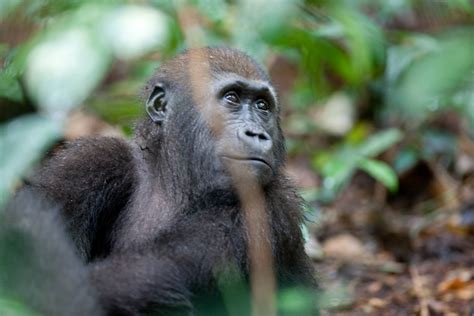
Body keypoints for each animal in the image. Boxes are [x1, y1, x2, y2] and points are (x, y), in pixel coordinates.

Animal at [1, 47, 318, 316]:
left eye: (263, 106)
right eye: (232, 98)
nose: (258, 134)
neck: (173, 181)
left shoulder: (269, 207)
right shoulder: (95, 159)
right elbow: (27, 233)